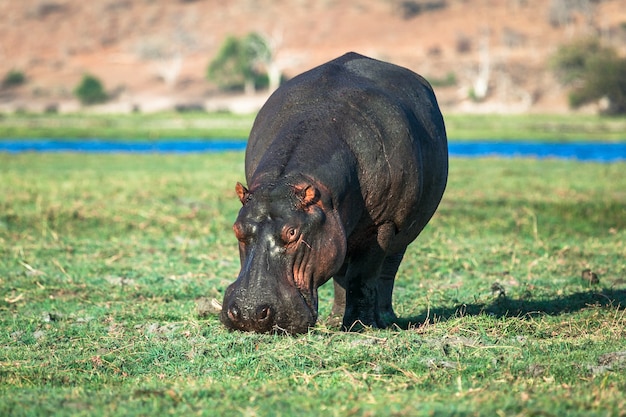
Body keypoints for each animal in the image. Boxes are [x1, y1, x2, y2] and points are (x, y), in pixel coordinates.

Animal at [219, 52, 444, 334]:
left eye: (292, 233)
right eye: (236, 229)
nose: (249, 313)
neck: (286, 182)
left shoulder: (381, 225)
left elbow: (363, 275)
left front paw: (361, 325)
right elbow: (345, 277)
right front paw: (347, 323)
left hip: (401, 232)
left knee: (387, 271)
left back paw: (384, 319)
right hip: (341, 233)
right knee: (341, 275)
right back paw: (336, 321)